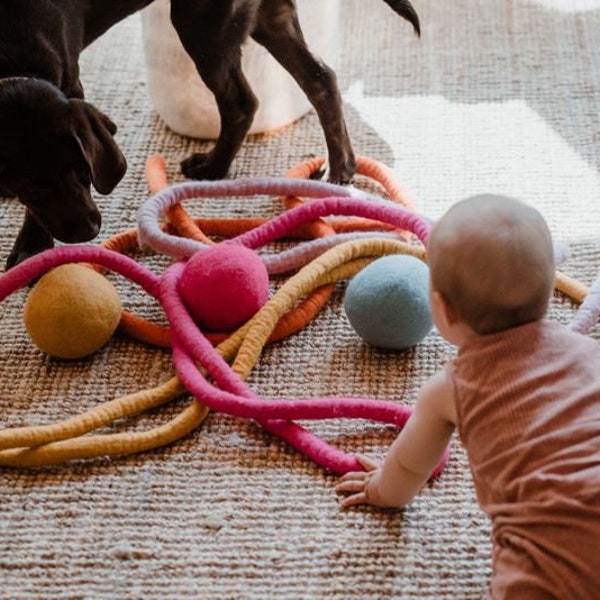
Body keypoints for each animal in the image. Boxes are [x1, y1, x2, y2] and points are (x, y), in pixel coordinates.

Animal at [0, 0, 420, 268]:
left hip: (203, 22)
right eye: (31, 183)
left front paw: (30, 248)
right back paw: (340, 168)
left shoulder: (71, 81)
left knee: (242, 102)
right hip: (266, 15)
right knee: (320, 79)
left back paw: (215, 167)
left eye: (82, 169)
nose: (89, 230)